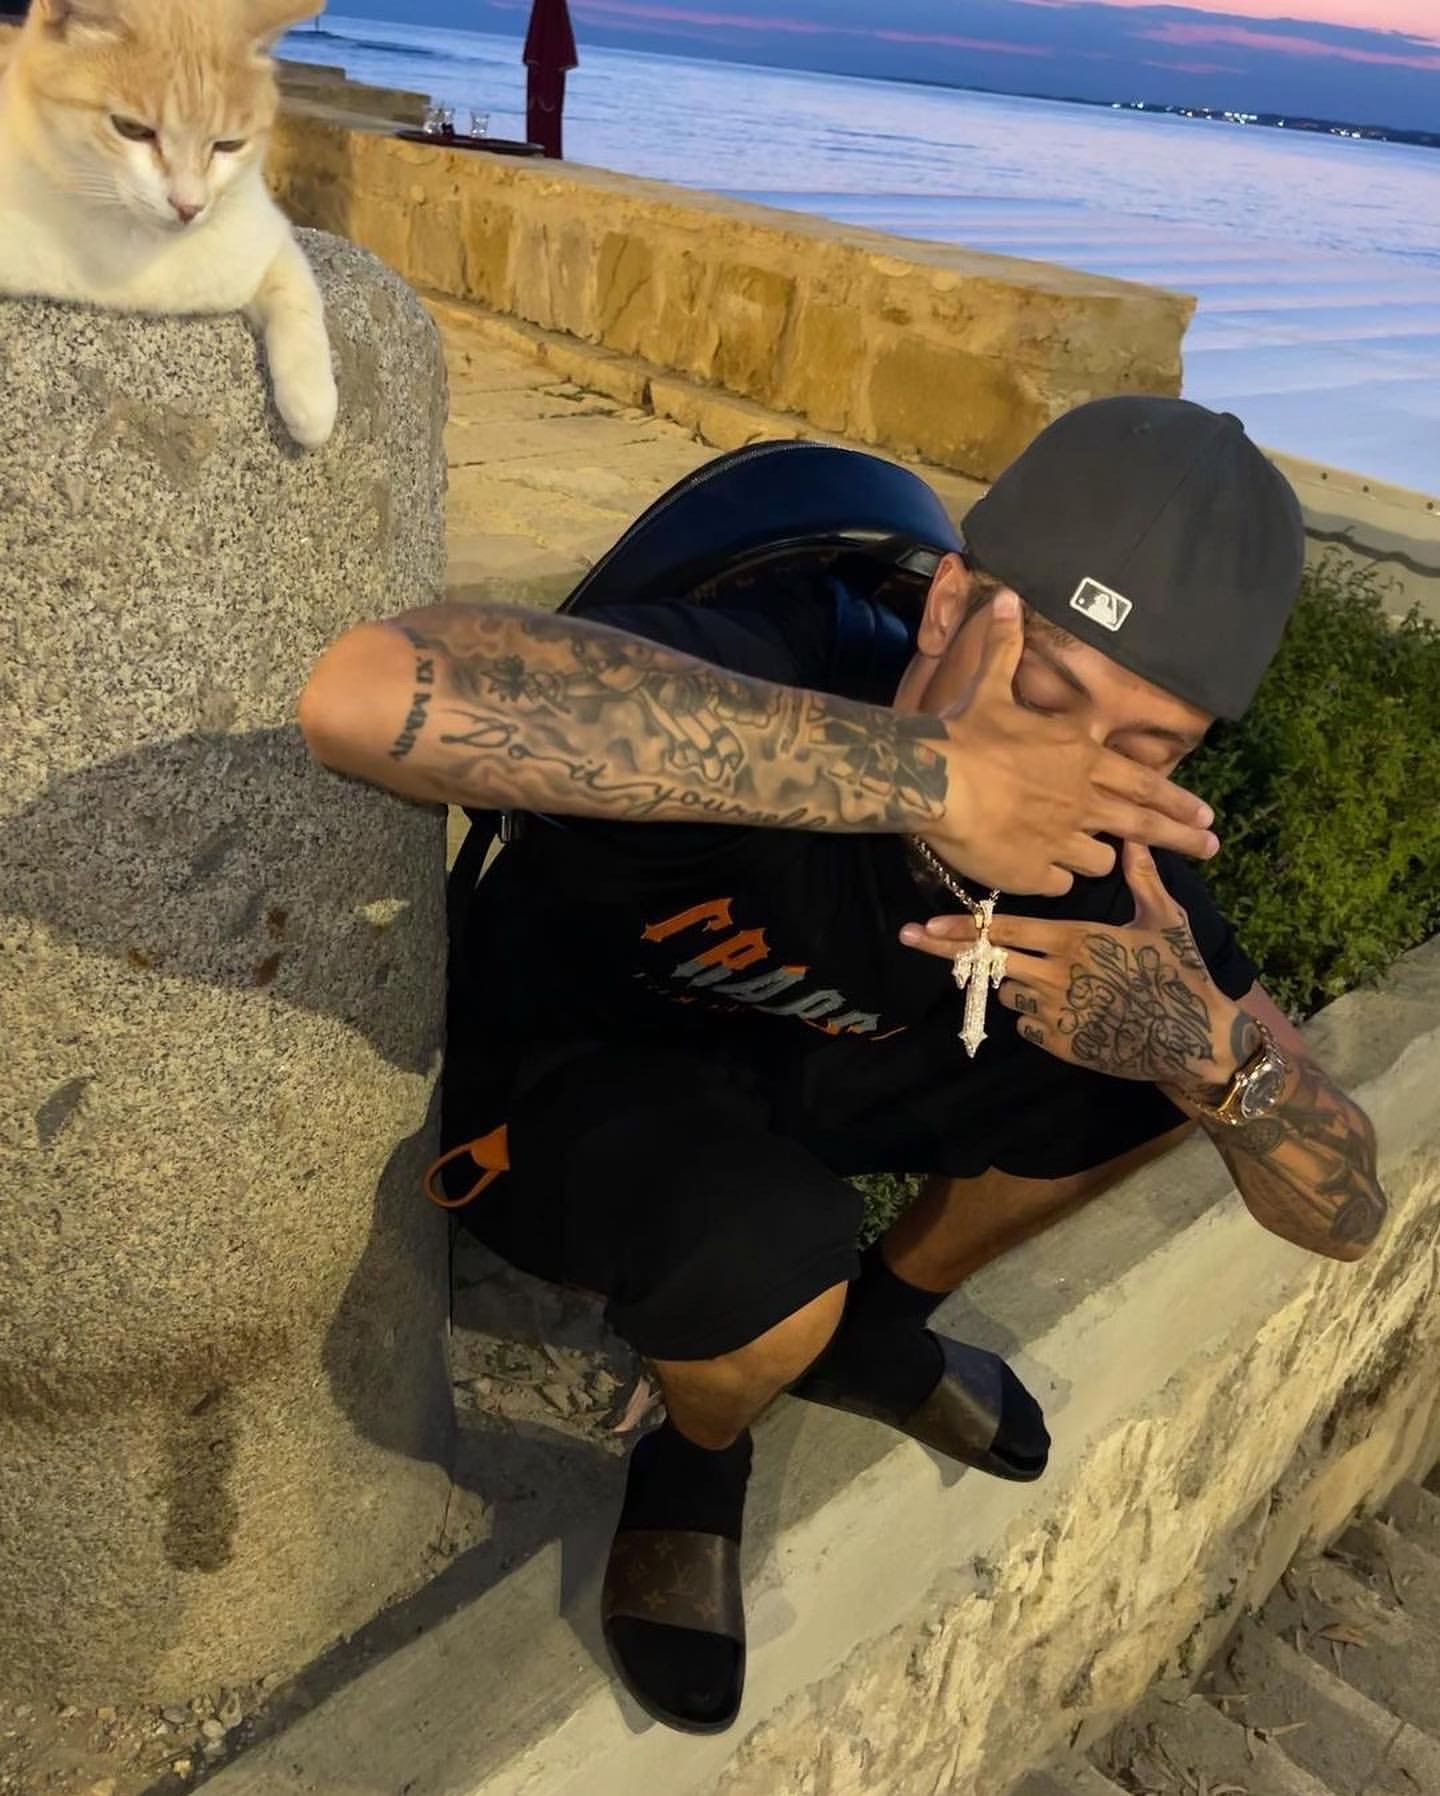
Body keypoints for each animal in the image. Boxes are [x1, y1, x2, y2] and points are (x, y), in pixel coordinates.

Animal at [0, 0, 338, 450]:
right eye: (132, 129)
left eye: (229, 144)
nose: (188, 206)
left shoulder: (260, 233)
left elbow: (297, 293)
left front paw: (313, 401)